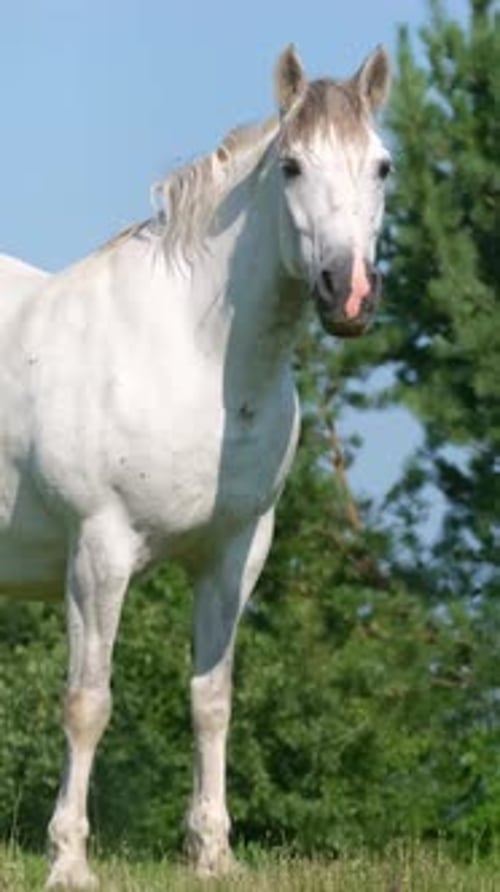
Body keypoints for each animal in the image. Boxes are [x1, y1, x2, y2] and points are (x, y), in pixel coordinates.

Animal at [0, 45, 391, 888]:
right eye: (292, 166)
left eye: (381, 166)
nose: (348, 292)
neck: (189, 352)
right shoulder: (99, 552)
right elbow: (88, 703)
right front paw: (69, 860)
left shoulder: (234, 553)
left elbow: (213, 699)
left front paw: (213, 851)